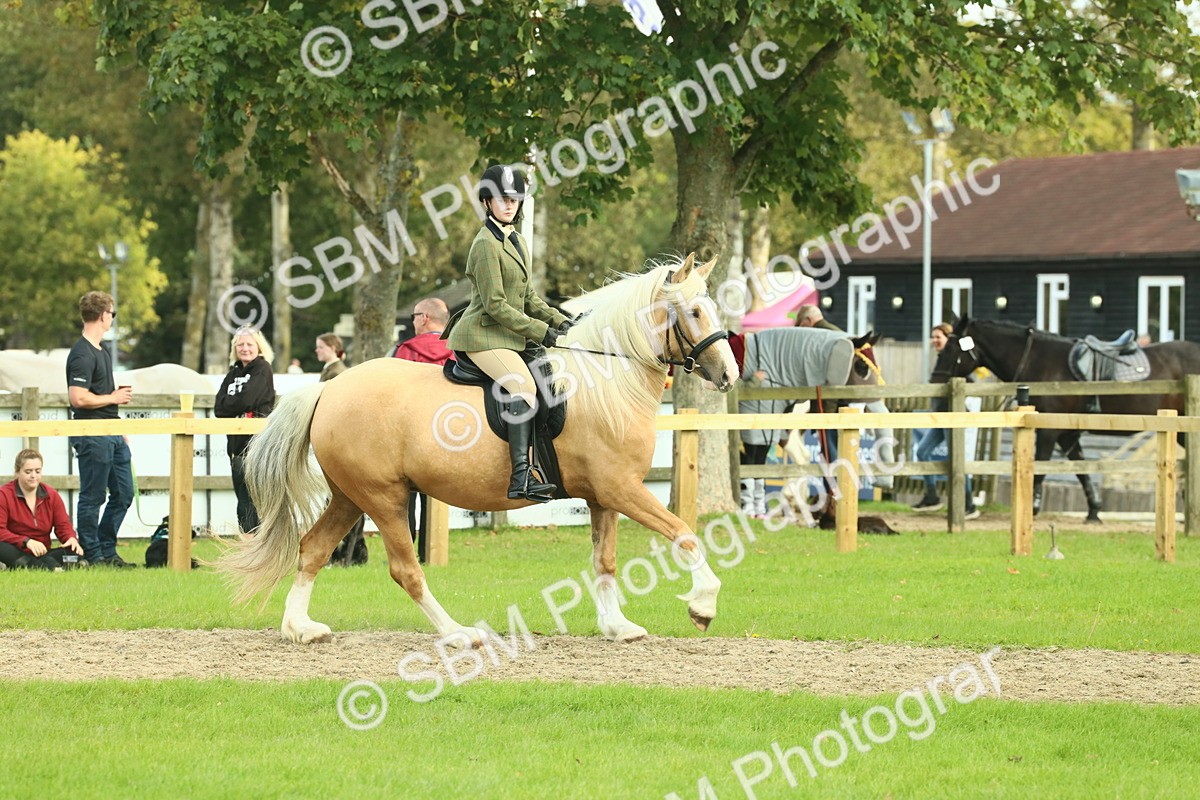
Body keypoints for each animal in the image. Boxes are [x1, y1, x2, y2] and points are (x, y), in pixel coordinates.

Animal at [216, 253, 740, 645]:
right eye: (695, 312)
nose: (729, 375)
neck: (606, 378)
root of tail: (329, 390)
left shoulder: (603, 496)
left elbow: (605, 561)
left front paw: (618, 627)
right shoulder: (622, 488)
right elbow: (685, 534)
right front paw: (703, 605)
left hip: (350, 496)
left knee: (312, 549)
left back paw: (300, 628)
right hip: (385, 499)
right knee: (405, 570)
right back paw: (459, 633)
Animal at [930, 315, 1200, 522]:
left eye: (950, 349)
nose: (934, 380)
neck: (1039, 360)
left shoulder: (1048, 431)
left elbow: (1040, 467)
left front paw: (1033, 507)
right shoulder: (1066, 433)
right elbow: (1081, 470)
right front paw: (1094, 511)